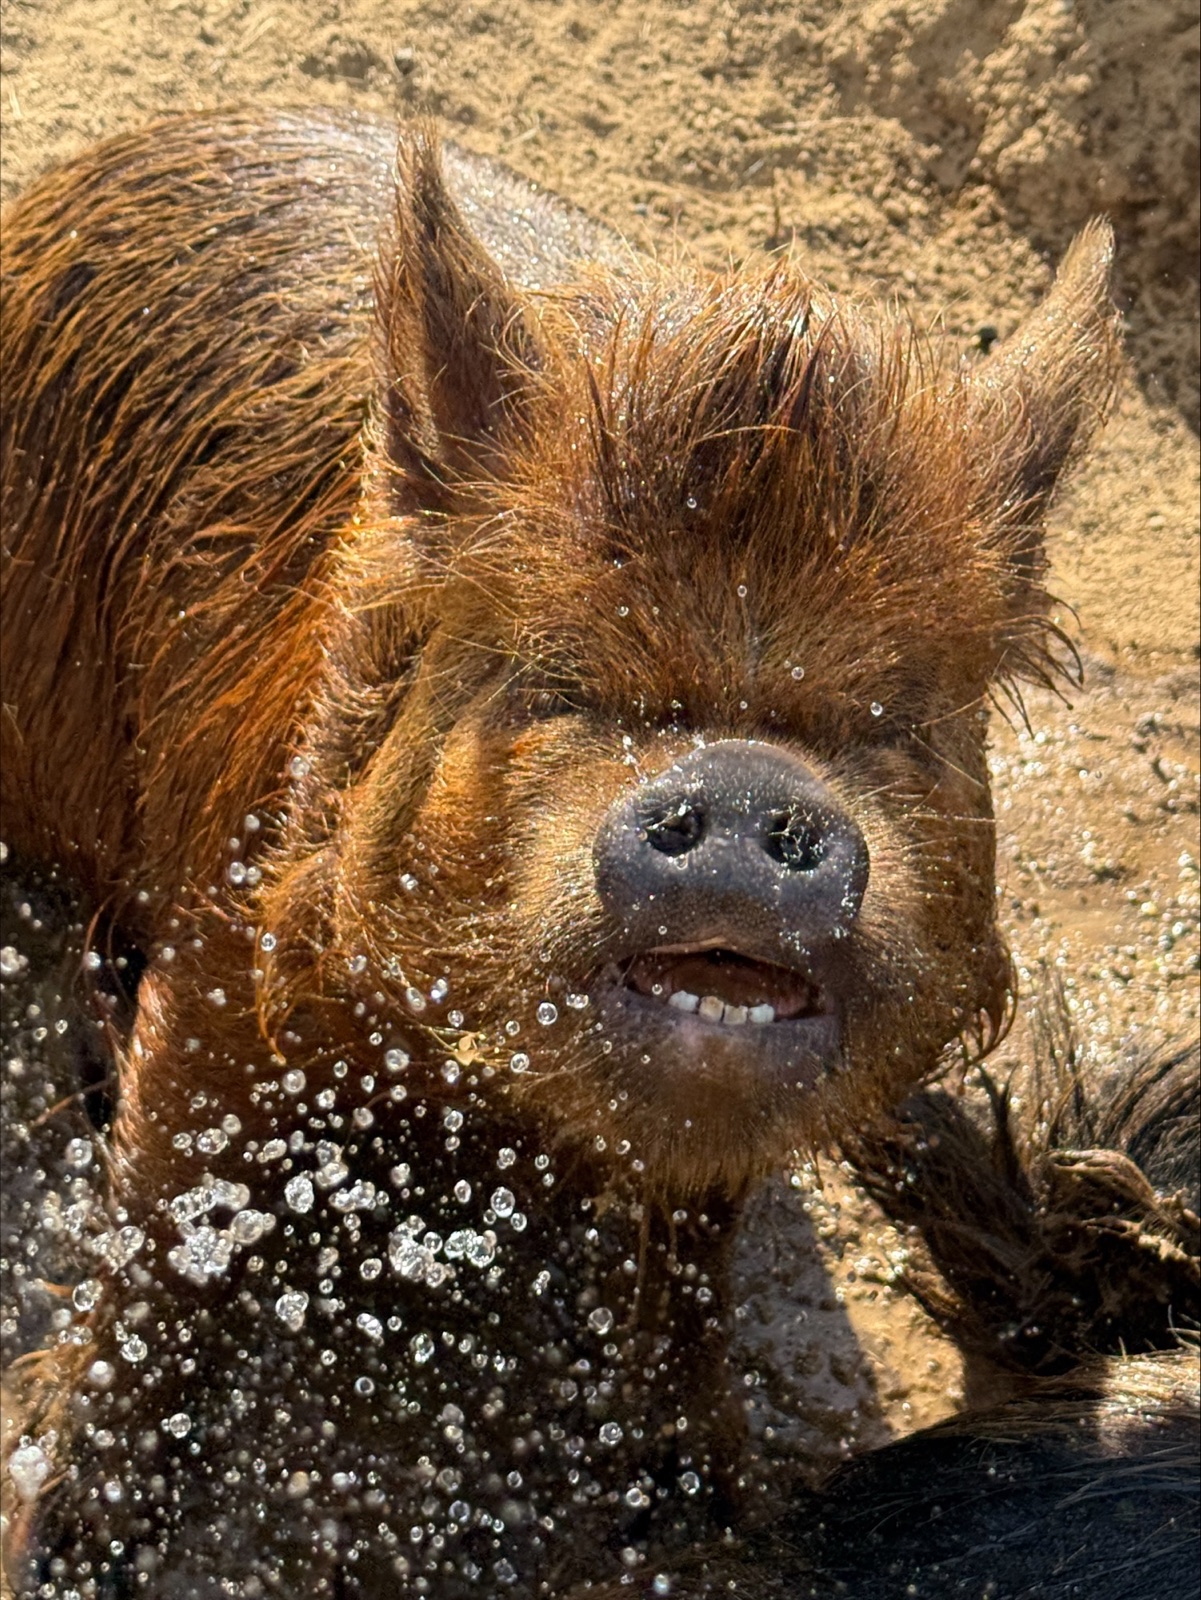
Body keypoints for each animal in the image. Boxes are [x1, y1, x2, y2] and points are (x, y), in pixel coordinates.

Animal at [3, 107, 1191, 1597]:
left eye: (887, 724)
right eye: (571, 684)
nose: (745, 783)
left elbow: (689, 1267)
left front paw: (701, 1503)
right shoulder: (233, 947)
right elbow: (167, 1238)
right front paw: (61, 1545)